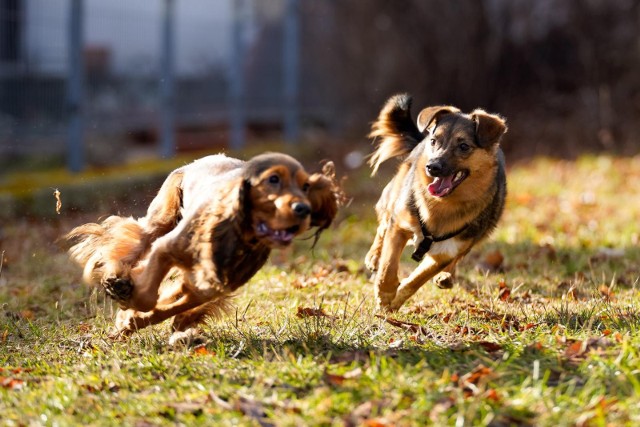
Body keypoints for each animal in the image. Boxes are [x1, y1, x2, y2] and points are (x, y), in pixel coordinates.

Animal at [66, 152, 340, 342]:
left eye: (306, 186)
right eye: (273, 179)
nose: (303, 209)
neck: (238, 235)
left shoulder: (207, 287)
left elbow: (167, 304)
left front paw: (133, 320)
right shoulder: (167, 248)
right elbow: (147, 297)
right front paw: (127, 302)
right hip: (162, 219)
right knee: (133, 240)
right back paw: (116, 278)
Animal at [364, 93, 510, 310]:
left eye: (464, 146)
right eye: (434, 141)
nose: (432, 167)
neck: (442, 205)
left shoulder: (445, 252)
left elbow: (416, 280)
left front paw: (395, 300)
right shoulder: (399, 225)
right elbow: (388, 266)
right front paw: (385, 293)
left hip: (480, 232)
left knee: (459, 256)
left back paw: (446, 276)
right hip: (395, 194)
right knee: (383, 224)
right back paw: (374, 256)